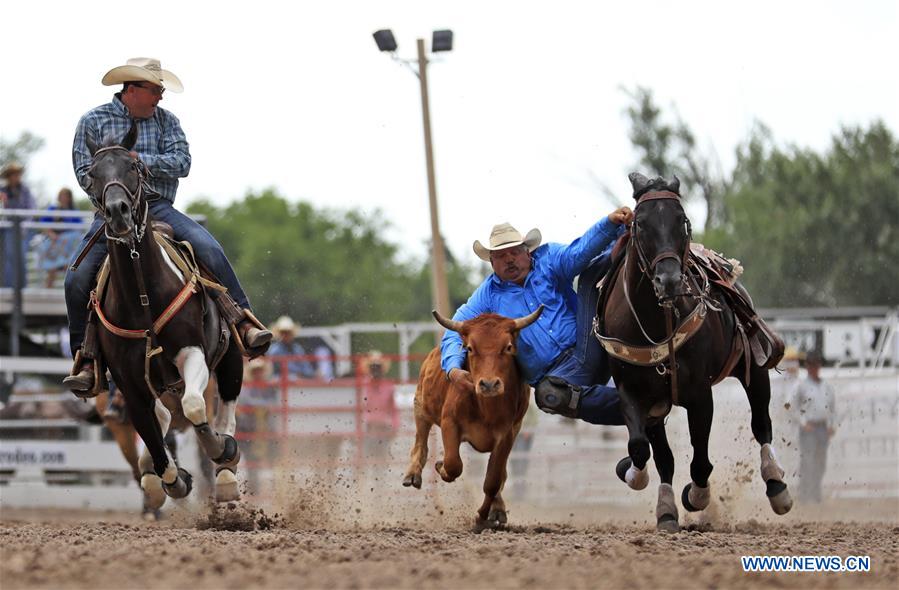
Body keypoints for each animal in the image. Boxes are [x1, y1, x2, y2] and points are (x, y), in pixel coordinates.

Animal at [85, 128, 244, 508]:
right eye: (91, 174)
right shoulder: (129, 384)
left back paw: (227, 472)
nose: (117, 212)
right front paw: (171, 480)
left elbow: (196, 407)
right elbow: (154, 435)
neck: (142, 298)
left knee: (226, 400)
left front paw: (220, 449)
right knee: (162, 419)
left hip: (230, 352)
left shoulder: (192, 353)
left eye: (134, 166)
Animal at [596, 173, 796, 536]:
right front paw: (638, 479)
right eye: (641, 224)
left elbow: (700, 460)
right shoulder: (633, 393)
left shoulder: (700, 395)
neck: (657, 320)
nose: (669, 280)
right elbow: (643, 449)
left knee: (761, 424)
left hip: (753, 367)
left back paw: (777, 487)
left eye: (682, 221)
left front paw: (696, 495)